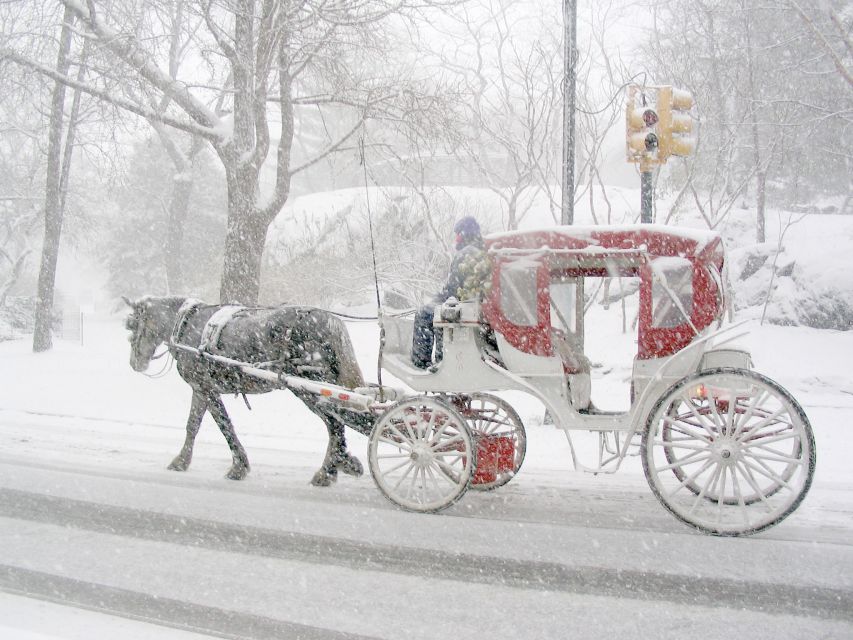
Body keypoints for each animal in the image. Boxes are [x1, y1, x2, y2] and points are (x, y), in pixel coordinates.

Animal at [123, 296, 370, 484]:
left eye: (132, 325)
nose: (135, 363)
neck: (187, 326)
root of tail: (329, 320)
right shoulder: (202, 389)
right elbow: (198, 424)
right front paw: (183, 461)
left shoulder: (205, 388)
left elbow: (220, 425)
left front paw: (236, 467)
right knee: (341, 421)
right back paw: (338, 464)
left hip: (309, 387)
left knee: (335, 423)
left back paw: (327, 472)